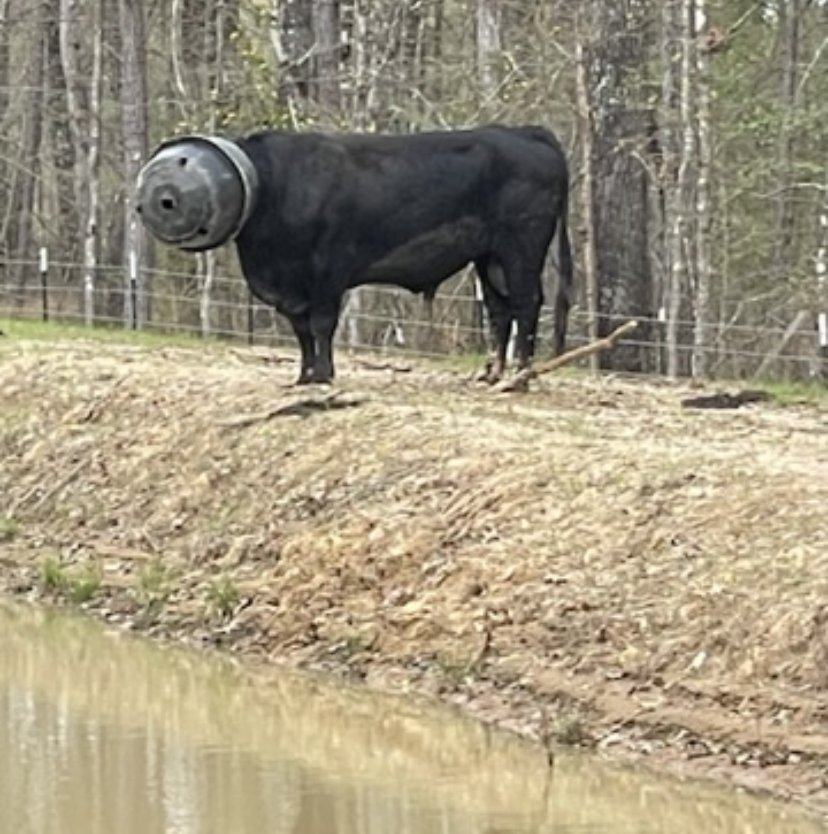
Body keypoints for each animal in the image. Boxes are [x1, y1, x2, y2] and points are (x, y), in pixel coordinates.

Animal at [136, 125, 573, 385]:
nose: (163, 198)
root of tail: (524, 132)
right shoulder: (292, 289)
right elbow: (301, 330)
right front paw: (304, 375)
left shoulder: (328, 271)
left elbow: (321, 324)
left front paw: (324, 374)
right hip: (489, 257)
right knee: (500, 311)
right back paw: (493, 374)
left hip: (521, 247)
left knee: (527, 303)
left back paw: (520, 375)